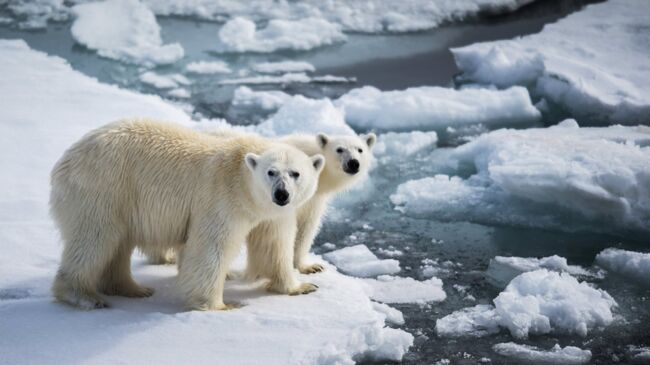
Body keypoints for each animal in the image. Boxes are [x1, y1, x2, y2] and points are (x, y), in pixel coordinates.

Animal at [50, 119, 324, 310]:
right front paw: (220, 305)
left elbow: (274, 245)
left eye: (295, 173)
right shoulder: (222, 198)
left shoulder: (271, 215)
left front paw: (301, 286)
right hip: (103, 188)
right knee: (94, 238)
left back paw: (132, 289)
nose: (281, 194)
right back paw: (83, 296)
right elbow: (210, 247)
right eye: (271, 172)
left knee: (117, 245)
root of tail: (65, 161)